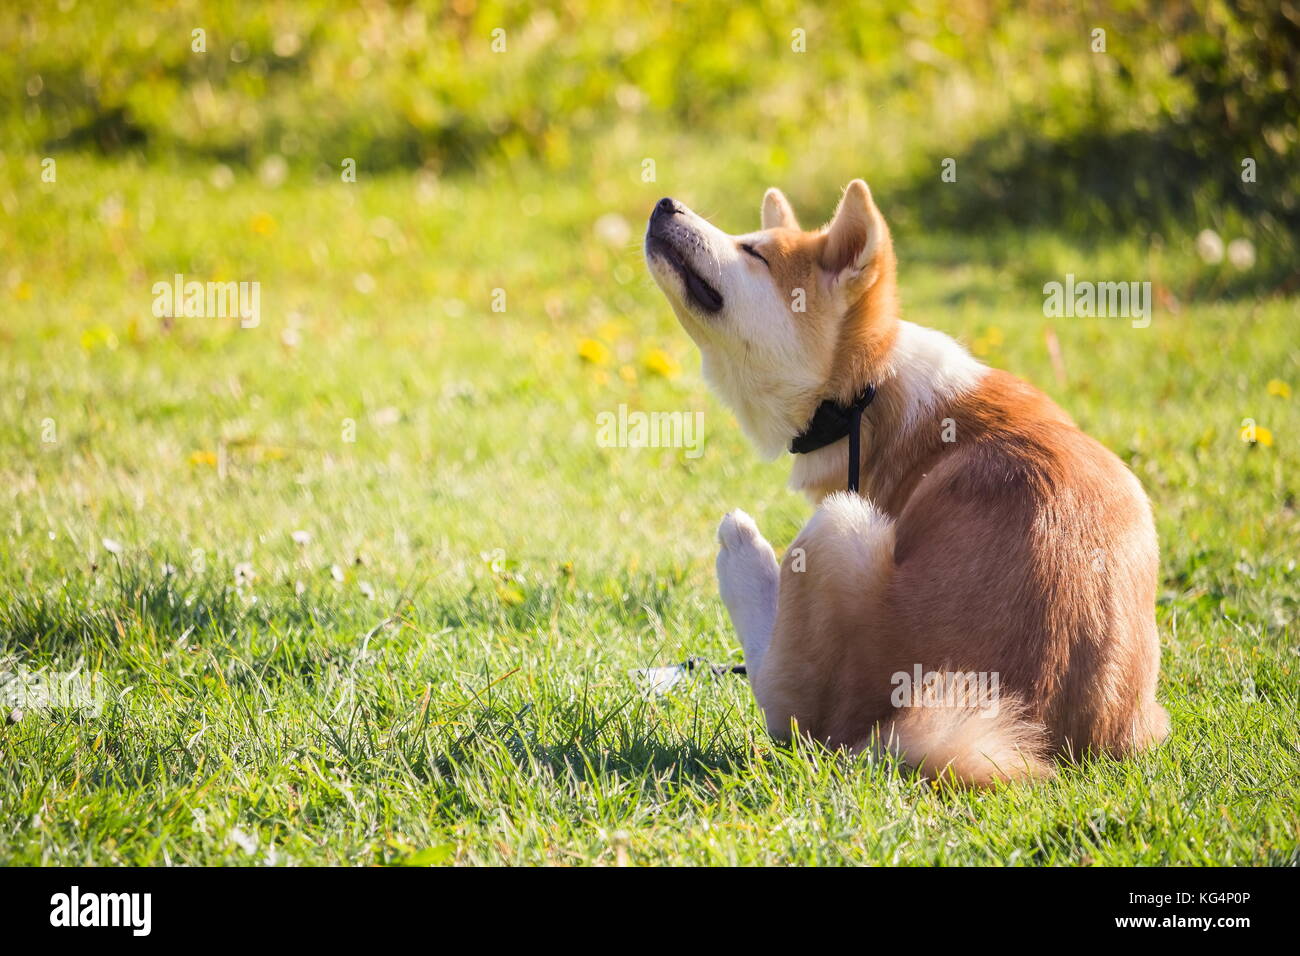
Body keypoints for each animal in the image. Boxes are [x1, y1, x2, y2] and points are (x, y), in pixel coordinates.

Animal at [644, 179, 1175, 785]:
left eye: (754, 251)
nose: (664, 204)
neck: (866, 391)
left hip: (838, 526)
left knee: (782, 699)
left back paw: (742, 551)